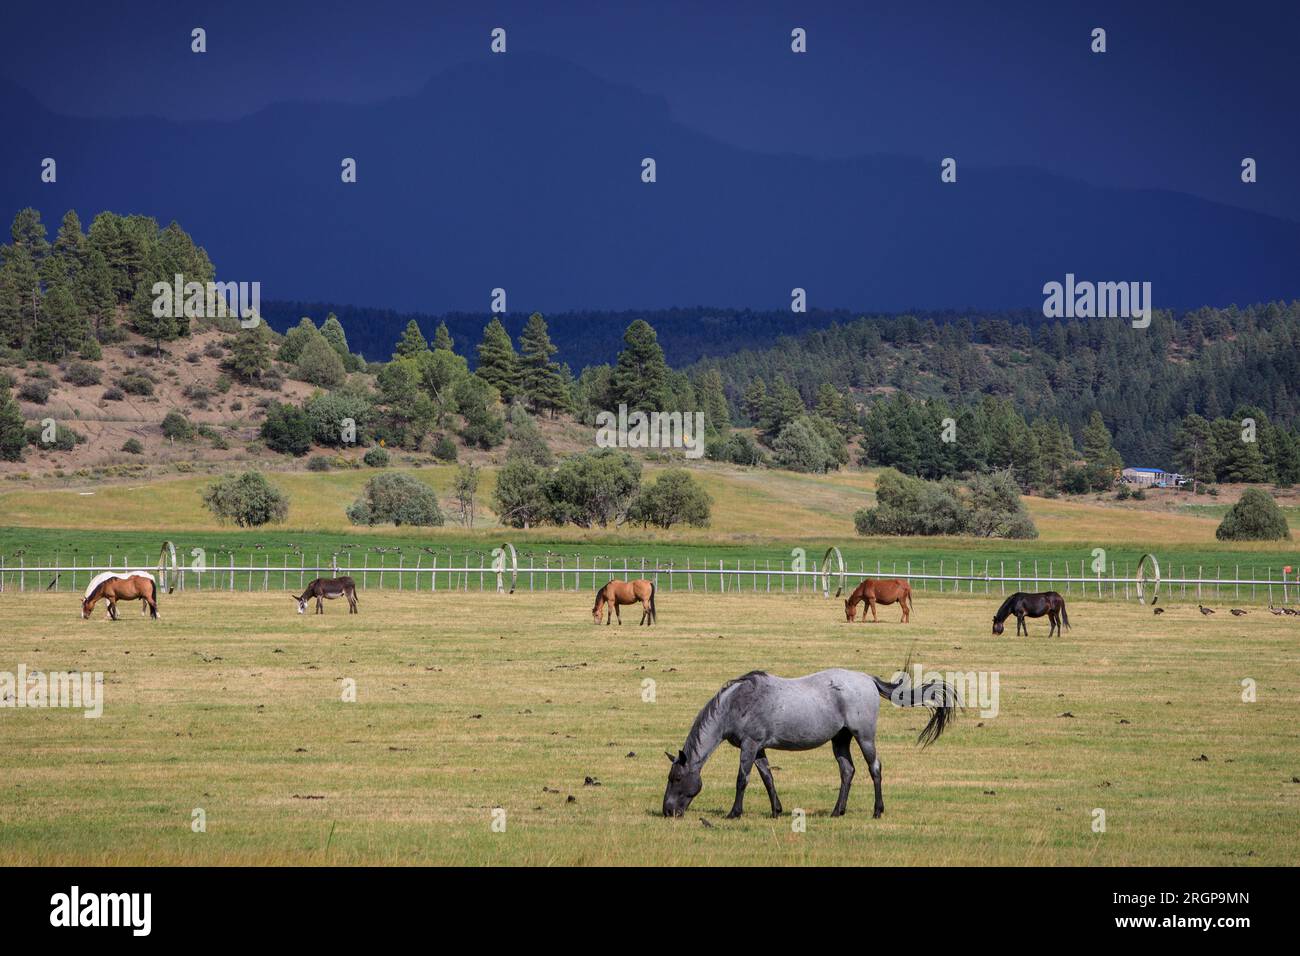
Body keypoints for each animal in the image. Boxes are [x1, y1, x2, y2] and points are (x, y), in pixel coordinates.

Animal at [662, 666, 958, 820]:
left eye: (676, 778)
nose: (667, 811)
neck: (736, 703)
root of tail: (868, 680)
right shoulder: (759, 748)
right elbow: (767, 778)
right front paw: (776, 810)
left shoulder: (750, 745)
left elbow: (742, 779)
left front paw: (734, 813)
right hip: (841, 739)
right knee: (847, 771)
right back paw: (837, 811)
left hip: (864, 736)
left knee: (875, 768)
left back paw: (877, 811)